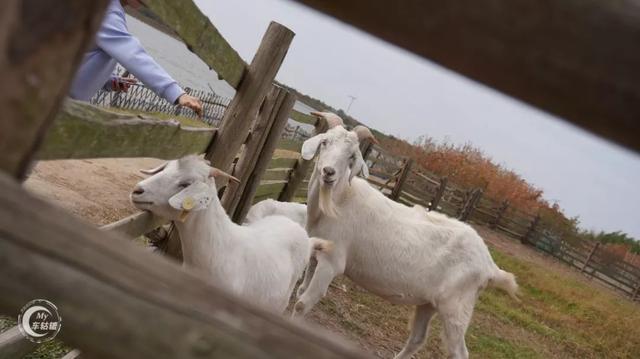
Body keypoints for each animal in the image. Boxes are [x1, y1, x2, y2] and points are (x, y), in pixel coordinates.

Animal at [296, 116, 520, 358]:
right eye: (325, 142)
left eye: (351, 156)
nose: (328, 172)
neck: (338, 200)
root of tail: (489, 265)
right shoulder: (315, 256)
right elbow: (300, 291)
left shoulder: (331, 262)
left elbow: (303, 304)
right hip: (428, 304)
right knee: (417, 338)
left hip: (457, 307)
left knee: (459, 352)